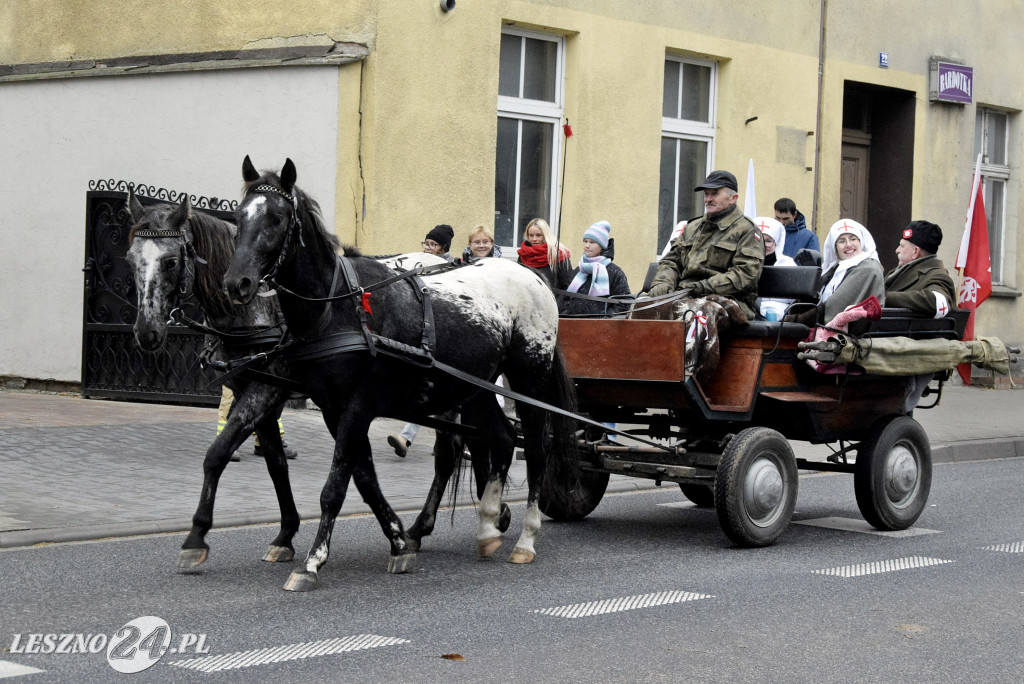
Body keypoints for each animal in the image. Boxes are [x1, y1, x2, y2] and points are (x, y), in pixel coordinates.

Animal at [223, 157, 581, 589]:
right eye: (240, 217)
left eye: (276, 219)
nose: (236, 283)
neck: (339, 307)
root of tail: (537, 281)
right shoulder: (333, 409)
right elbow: (362, 476)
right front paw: (397, 541)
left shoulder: (359, 404)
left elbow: (335, 486)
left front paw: (312, 561)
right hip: (475, 387)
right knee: (502, 439)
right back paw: (487, 528)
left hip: (530, 379)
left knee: (537, 449)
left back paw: (525, 539)